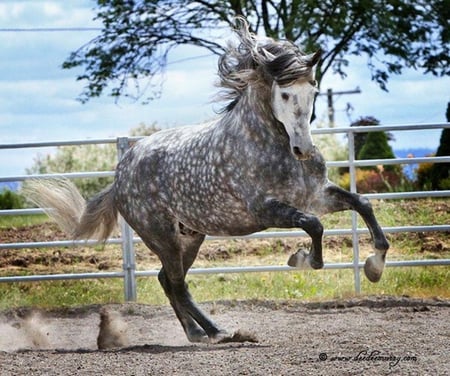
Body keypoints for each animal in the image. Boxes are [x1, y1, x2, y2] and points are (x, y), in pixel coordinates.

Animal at [27, 19, 386, 344]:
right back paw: (219, 332)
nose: (303, 149)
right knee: (177, 284)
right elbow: (314, 225)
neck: (266, 143)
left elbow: (361, 204)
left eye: (312, 90)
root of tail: (120, 176)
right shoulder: (266, 210)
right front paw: (303, 259)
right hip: (162, 237)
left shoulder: (316, 196)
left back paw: (197, 333)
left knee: (167, 280)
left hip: (190, 236)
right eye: (284, 93)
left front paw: (375, 265)